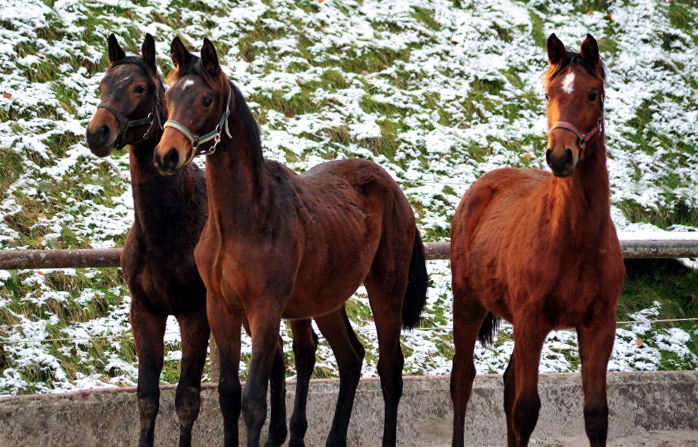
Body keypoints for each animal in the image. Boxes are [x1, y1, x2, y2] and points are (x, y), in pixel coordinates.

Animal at [85, 34, 304, 447]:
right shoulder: (145, 311)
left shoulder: (196, 314)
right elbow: (147, 397)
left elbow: (187, 398)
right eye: (103, 85)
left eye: (139, 88)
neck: (165, 229)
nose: (97, 133)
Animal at [151, 38, 430, 447]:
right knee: (350, 358)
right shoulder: (221, 308)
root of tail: (394, 190)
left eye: (206, 99)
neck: (242, 221)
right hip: (326, 299)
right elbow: (229, 394)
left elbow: (254, 400)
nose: (166, 155)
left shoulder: (265, 310)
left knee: (390, 371)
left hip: (386, 292)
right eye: (169, 95)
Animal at [448, 33, 624, 446]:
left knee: (508, 383)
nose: (560, 156)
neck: (575, 240)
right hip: (468, 302)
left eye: (594, 94)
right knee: (462, 379)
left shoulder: (599, 325)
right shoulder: (531, 321)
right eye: (548, 93)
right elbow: (526, 410)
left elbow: (596, 414)